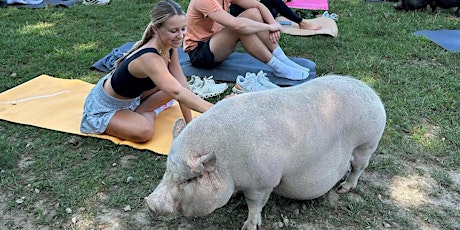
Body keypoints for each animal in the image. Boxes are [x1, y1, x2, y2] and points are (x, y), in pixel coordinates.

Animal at [146, 74, 386, 229]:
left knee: (358, 167)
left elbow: (255, 205)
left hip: (367, 143)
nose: (150, 203)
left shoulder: (262, 183)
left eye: (189, 180)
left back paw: (343, 189)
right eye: (168, 171)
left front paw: (248, 226)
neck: (227, 167)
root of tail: (371, 91)